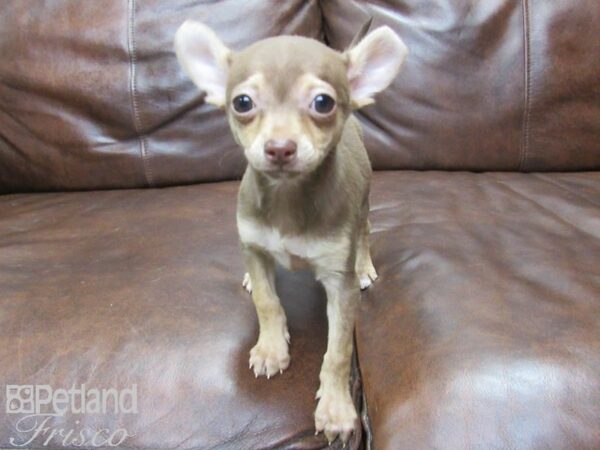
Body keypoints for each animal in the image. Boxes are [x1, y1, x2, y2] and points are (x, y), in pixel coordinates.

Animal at [175, 20, 408, 442]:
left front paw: (336, 407)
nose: (280, 147)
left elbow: (338, 351)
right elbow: (267, 301)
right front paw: (271, 348)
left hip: (365, 203)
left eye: (323, 103)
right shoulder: (252, 246)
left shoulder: (340, 286)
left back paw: (365, 265)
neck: (287, 200)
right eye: (242, 103)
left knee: (366, 230)